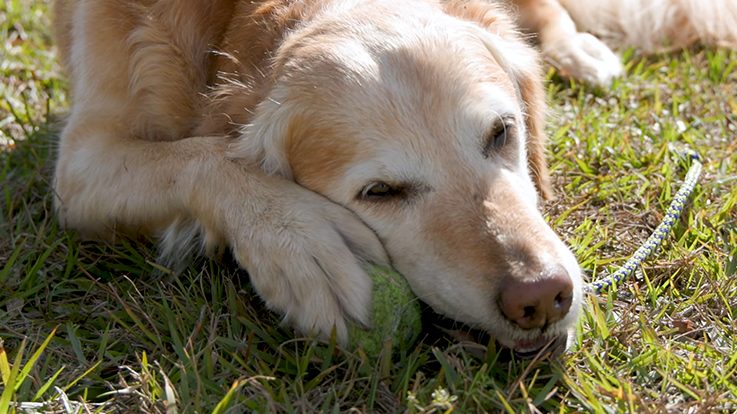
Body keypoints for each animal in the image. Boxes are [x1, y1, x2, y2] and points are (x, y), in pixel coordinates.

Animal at [54, 0, 736, 356]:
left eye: (501, 133)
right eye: (379, 193)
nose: (542, 297)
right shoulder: (80, 164)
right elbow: (205, 156)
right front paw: (305, 251)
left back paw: (581, 52)